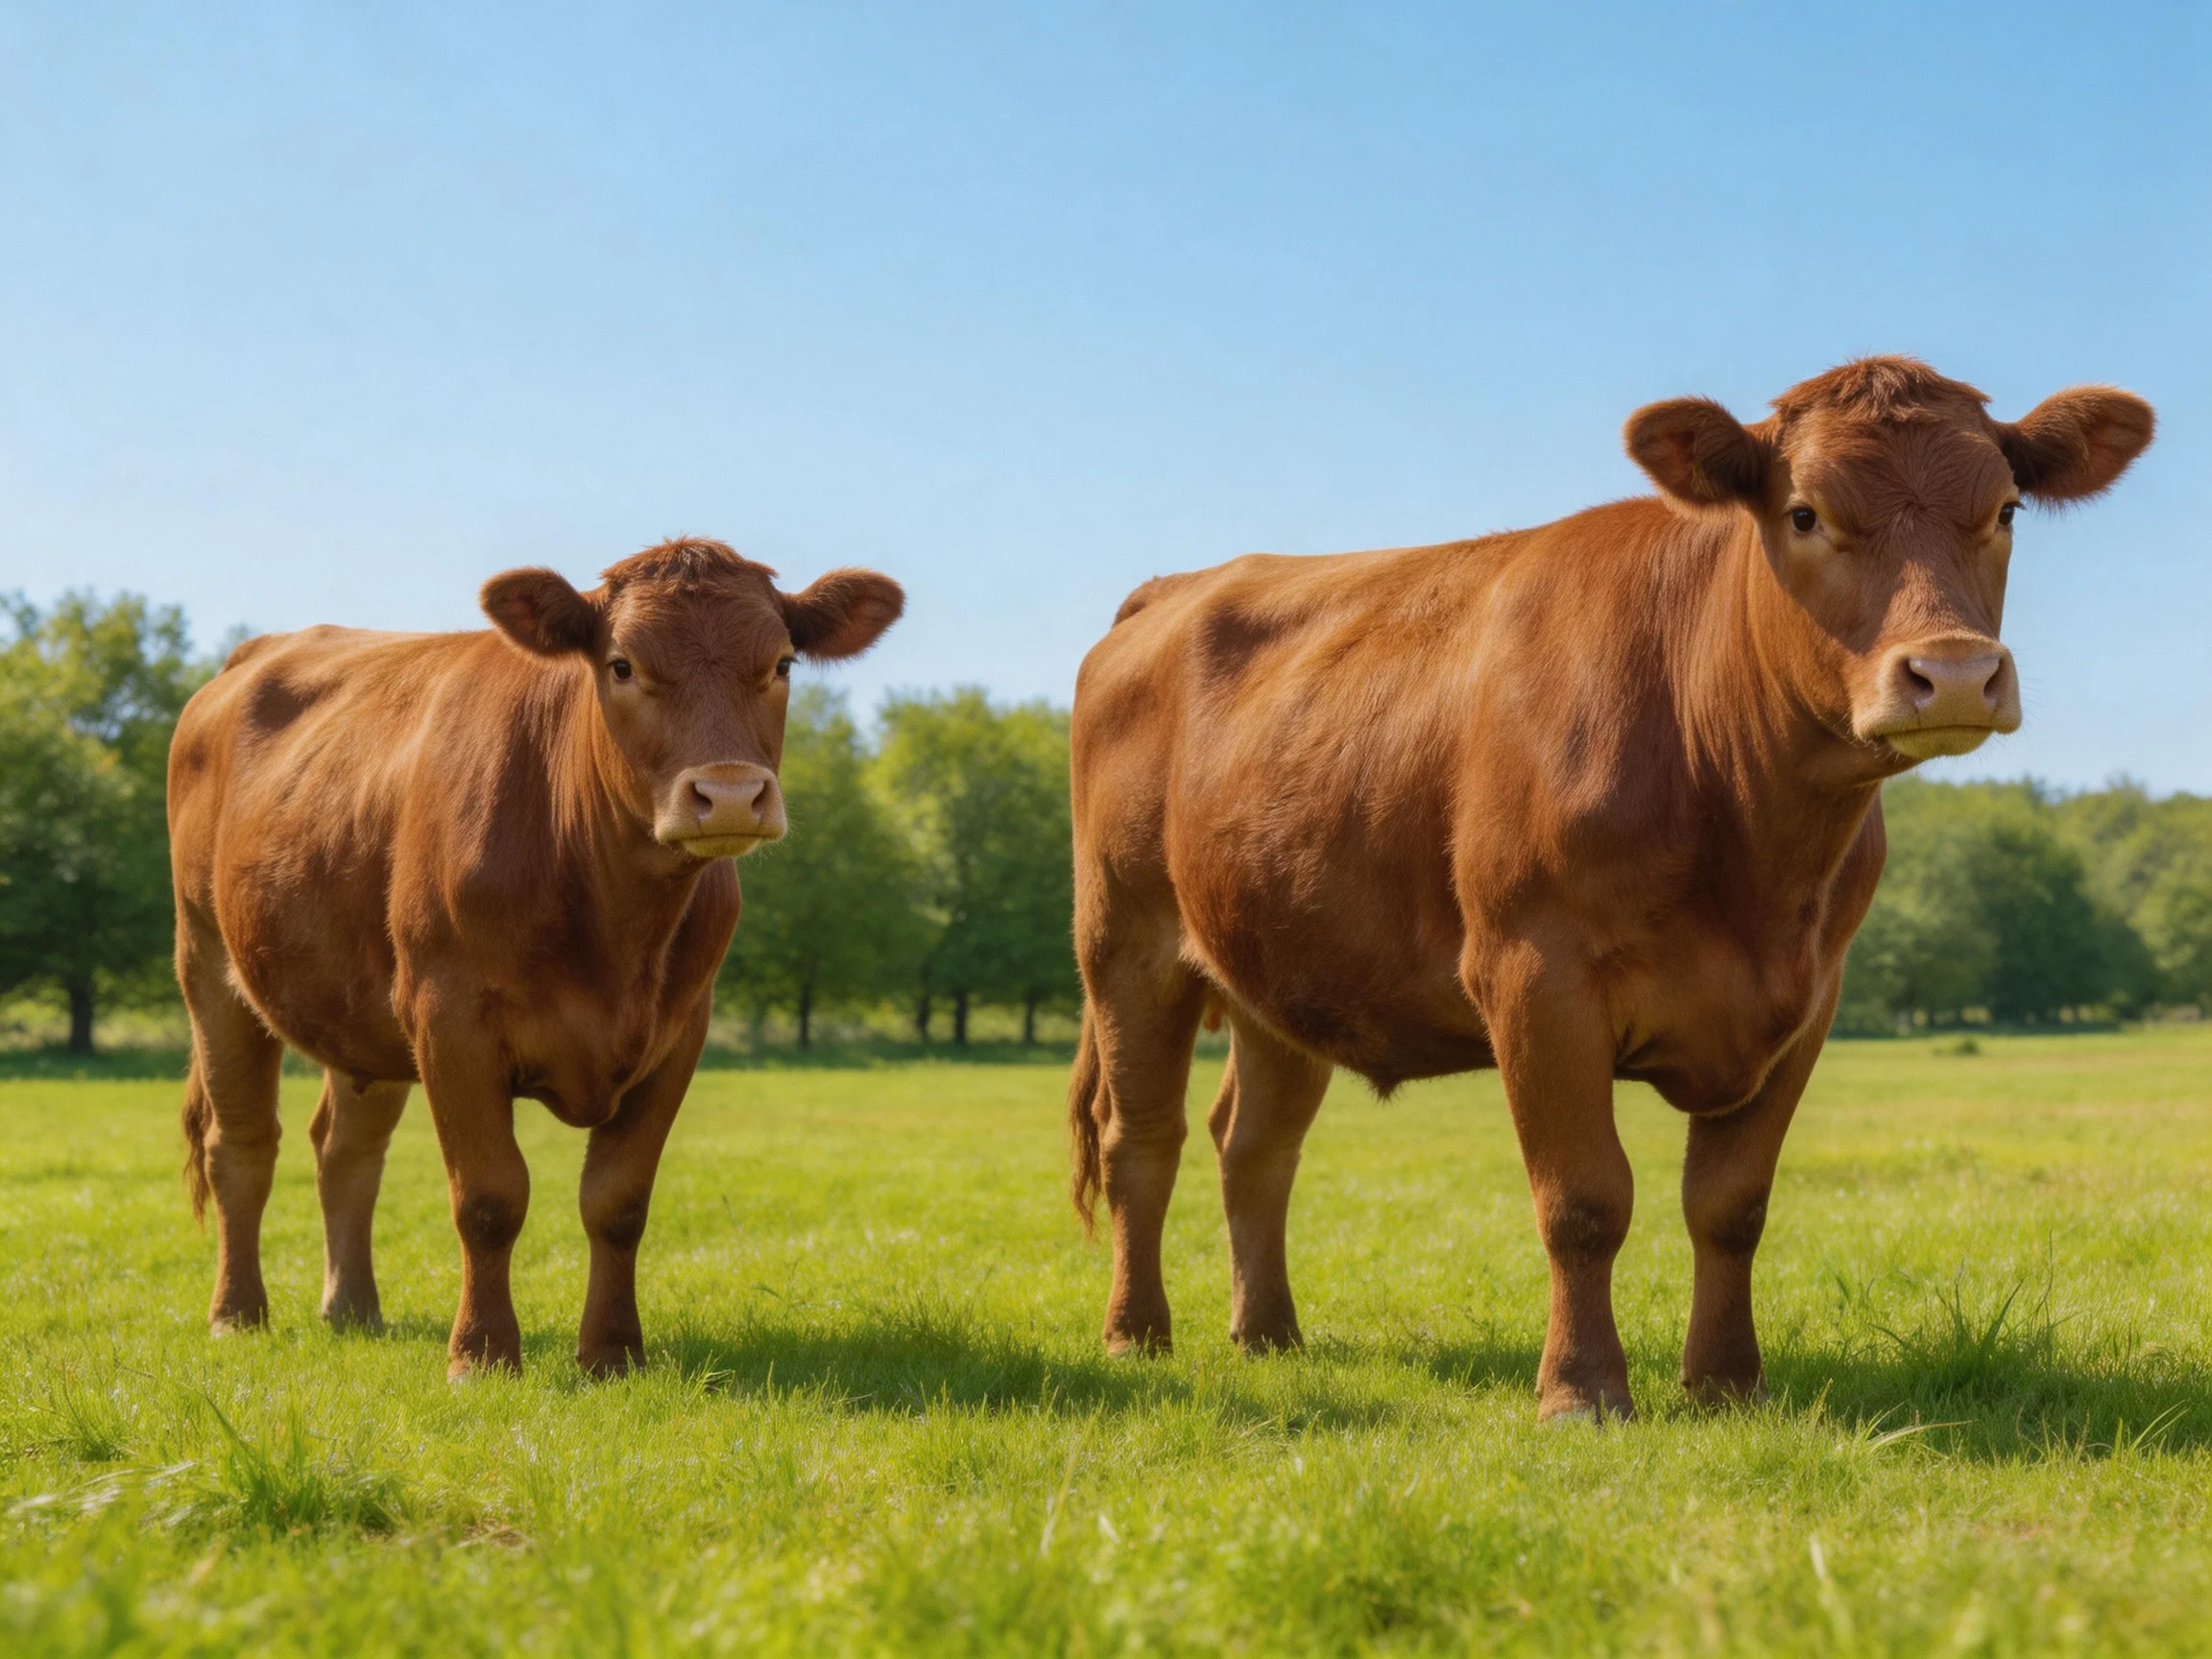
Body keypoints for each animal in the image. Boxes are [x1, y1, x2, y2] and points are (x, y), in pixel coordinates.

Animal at [168, 538, 902, 1377]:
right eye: (621, 664)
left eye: (782, 663)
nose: (728, 794)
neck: (614, 920)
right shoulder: (449, 1020)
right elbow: (489, 1198)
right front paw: (481, 1354)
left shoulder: (681, 1031)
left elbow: (618, 1202)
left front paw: (612, 1354)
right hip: (209, 963)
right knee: (241, 1144)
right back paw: (237, 1313)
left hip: (358, 1011)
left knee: (345, 1150)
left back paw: (353, 1309)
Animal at [1065, 358, 2153, 1420]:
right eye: (1804, 512)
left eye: (2006, 509)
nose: (1956, 674)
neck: (1752, 842)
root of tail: (1181, 585)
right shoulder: (1534, 975)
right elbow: (1585, 1201)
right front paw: (1582, 1390)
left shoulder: (1809, 999)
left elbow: (1730, 1206)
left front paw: (1727, 1382)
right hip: (1125, 942)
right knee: (1140, 1139)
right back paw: (1135, 1334)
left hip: (1277, 967)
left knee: (1253, 1144)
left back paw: (1270, 1334)